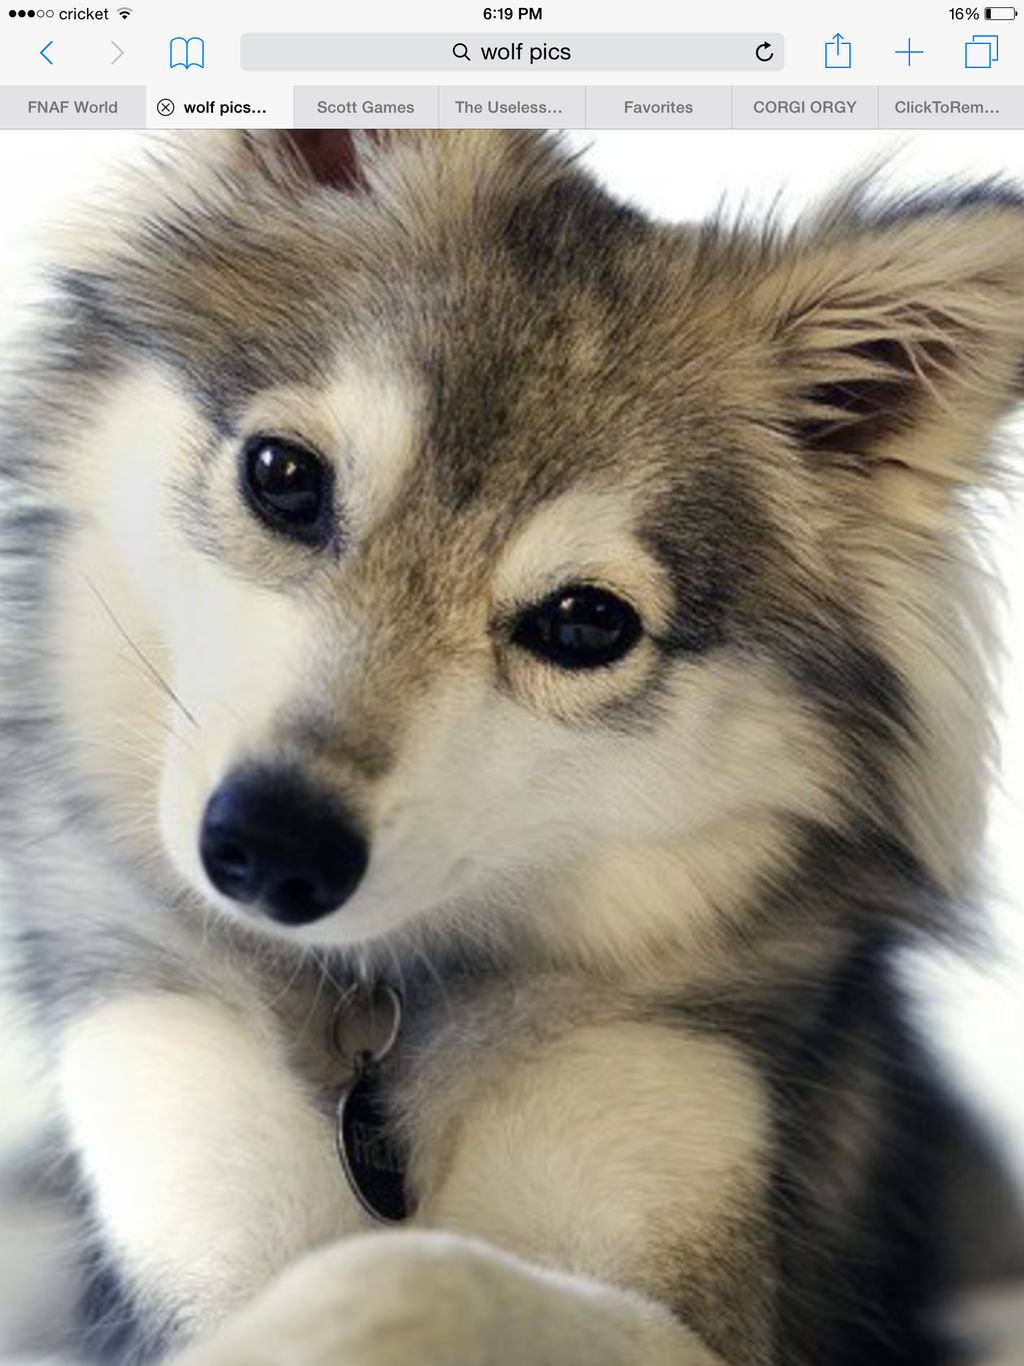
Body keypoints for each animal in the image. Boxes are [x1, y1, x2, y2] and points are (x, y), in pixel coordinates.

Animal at [1, 128, 1024, 1366]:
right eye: (283, 475)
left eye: (584, 622)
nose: (272, 846)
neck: (381, 1026)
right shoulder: (177, 1137)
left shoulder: (683, 1202)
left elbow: (414, 1267)